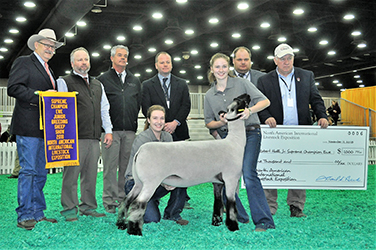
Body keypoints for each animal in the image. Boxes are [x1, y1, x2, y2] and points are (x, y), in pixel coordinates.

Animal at [117, 93, 253, 234]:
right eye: (239, 102)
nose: (248, 95)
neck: (234, 142)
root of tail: (139, 152)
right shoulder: (231, 178)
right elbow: (231, 204)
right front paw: (233, 226)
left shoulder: (217, 182)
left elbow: (218, 202)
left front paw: (217, 222)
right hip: (150, 182)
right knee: (138, 203)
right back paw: (134, 231)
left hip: (139, 182)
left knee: (126, 200)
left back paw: (121, 224)